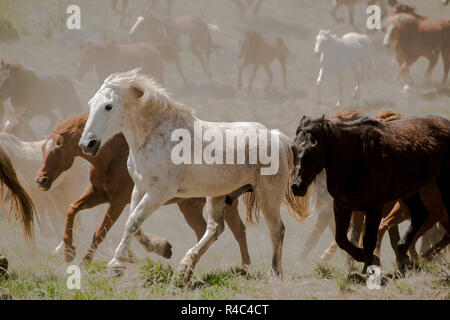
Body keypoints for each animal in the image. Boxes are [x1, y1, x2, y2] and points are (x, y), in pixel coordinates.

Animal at [35, 114, 251, 264]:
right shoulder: (99, 194)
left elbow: (100, 231)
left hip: (224, 203)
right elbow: (72, 208)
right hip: (190, 206)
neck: (114, 155)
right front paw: (68, 251)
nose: (41, 180)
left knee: (238, 230)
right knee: (202, 230)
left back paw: (244, 268)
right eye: (43, 148)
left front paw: (85, 263)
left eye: (58, 149)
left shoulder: (118, 201)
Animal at [79, 68, 312, 282]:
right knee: (215, 229)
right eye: (90, 104)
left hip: (267, 195)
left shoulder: (160, 192)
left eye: (108, 106)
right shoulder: (140, 187)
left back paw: (274, 274)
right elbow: (133, 222)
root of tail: (278, 138)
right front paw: (162, 248)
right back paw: (185, 268)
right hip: (218, 195)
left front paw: (116, 265)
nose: (87, 144)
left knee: (277, 230)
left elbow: (133, 221)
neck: (155, 136)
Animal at [292, 112, 450, 272]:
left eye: (314, 147)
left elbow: (368, 239)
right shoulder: (342, 205)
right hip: (410, 193)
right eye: (293, 148)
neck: (355, 156)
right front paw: (364, 259)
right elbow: (342, 238)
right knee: (420, 214)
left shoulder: (374, 207)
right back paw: (403, 253)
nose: (297, 186)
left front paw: (369, 266)